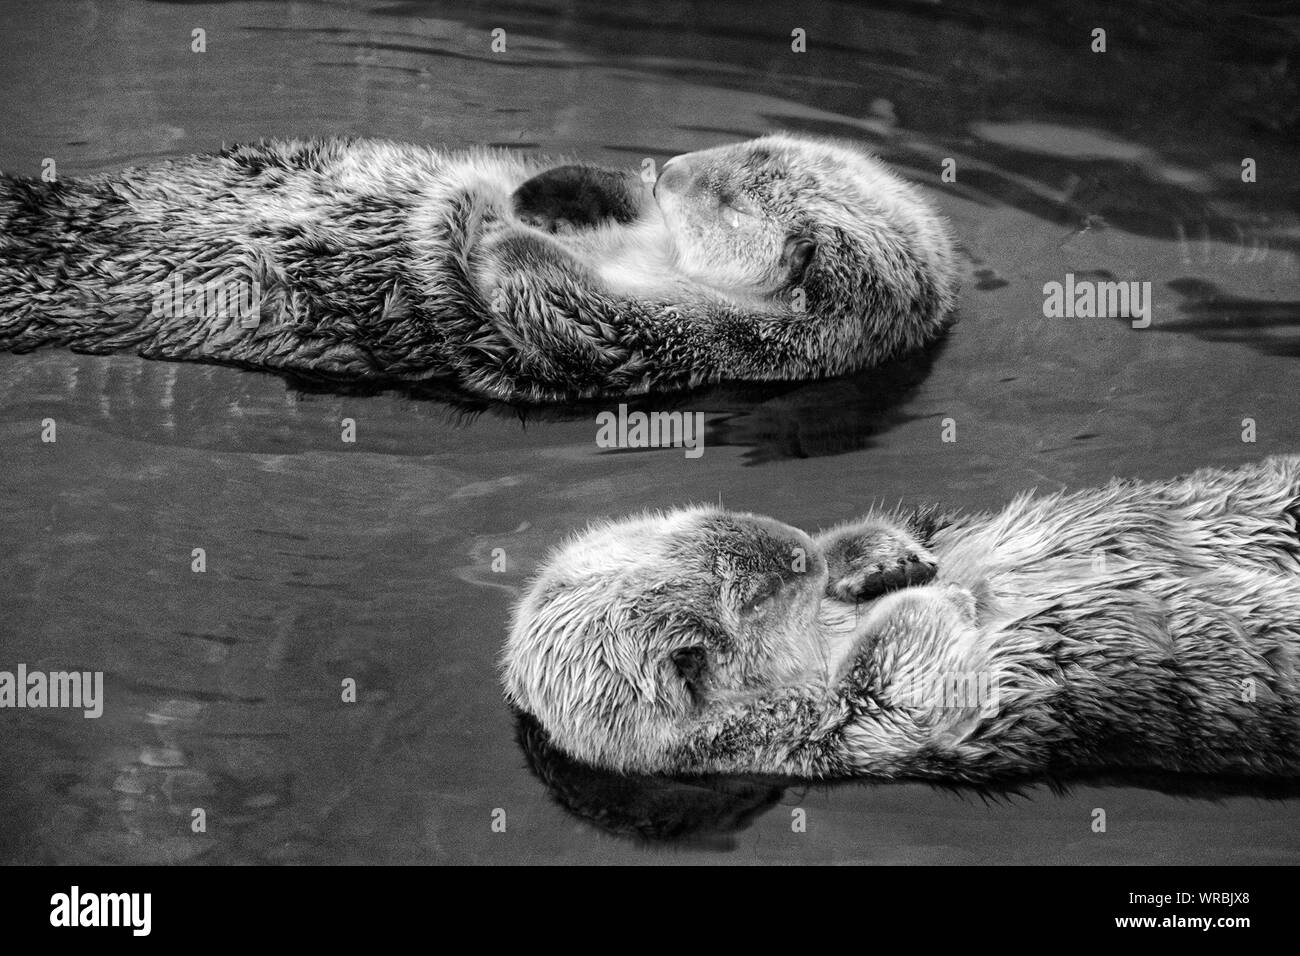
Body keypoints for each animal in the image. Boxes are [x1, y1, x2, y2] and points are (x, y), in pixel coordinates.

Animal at [0, 135, 957, 403]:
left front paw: (493, 230)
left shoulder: (679, 343)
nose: (675, 167)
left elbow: (542, 298)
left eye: (725, 197)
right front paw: (539, 192)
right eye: (740, 152)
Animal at [503, 457, 1300, 782]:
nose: (798, 546)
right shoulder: (832, 733)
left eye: (711, 516)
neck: (821, 637)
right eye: (756, 595)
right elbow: (915, 684)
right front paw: (939, 599)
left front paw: (879, 559)